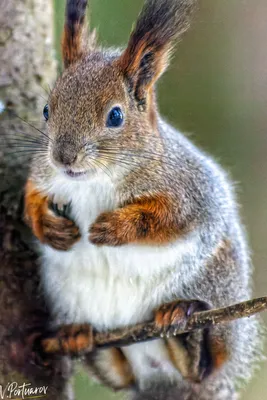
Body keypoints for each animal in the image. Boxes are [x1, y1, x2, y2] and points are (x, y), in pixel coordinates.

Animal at [23, 0, 262, 400]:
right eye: (46, 110)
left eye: (116, 115)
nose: (64, 157)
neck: (95, 180)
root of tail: (160, 378)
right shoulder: (43, 173)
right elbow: (32, 194)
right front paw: (46, 223)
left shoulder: (190, 190)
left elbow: (170, 219)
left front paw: (113, 227)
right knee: (120, 374)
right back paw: (78, 336)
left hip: (214, 287)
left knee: (205, 366)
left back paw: (184, 325)